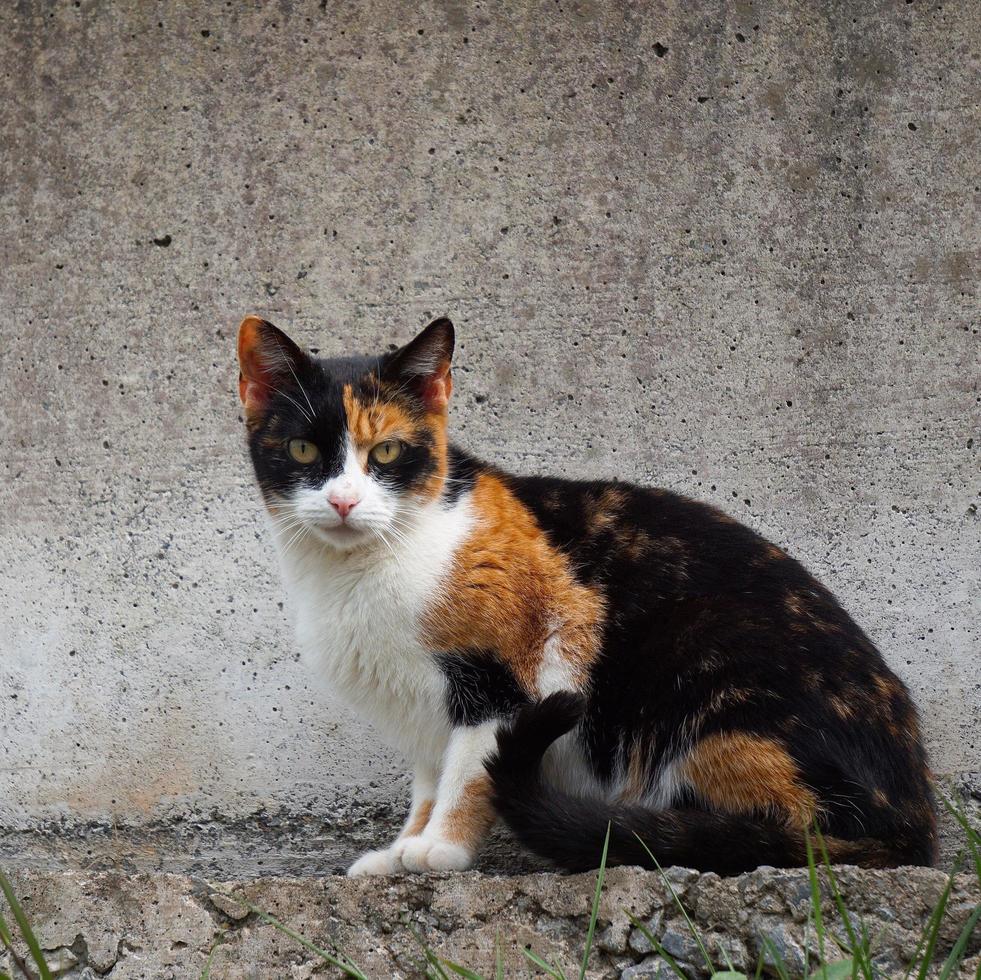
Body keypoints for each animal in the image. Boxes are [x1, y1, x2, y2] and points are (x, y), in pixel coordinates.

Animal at [235, 312, 936, 872]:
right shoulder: (425, 708)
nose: (344, 501)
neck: (360, 572)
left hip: (709, 672)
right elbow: (430, 780)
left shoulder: (503, 679)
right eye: (302, 449)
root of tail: (914, 820)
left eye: (385, 451)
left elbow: (467, 774)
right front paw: (401, 848)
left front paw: (441, 849)